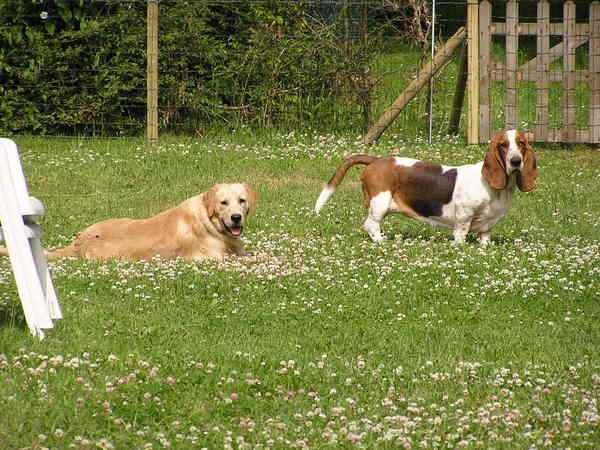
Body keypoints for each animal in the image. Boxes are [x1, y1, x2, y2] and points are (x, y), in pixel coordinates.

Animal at [0, 182, 258, 260]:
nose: (236, 218)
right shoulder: (217, 259)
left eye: (241, 201)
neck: (210, 221)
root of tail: (78, 243)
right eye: (223, 203)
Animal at [316, 130, 536, 244]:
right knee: (370, 224)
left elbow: (485, 237)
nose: (516, 161)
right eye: (502, 145)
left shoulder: (487, 226)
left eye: (521, 143)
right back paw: (381, 242)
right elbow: (461, 235)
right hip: (380, 202)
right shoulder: (463, 217)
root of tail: (376, 160)